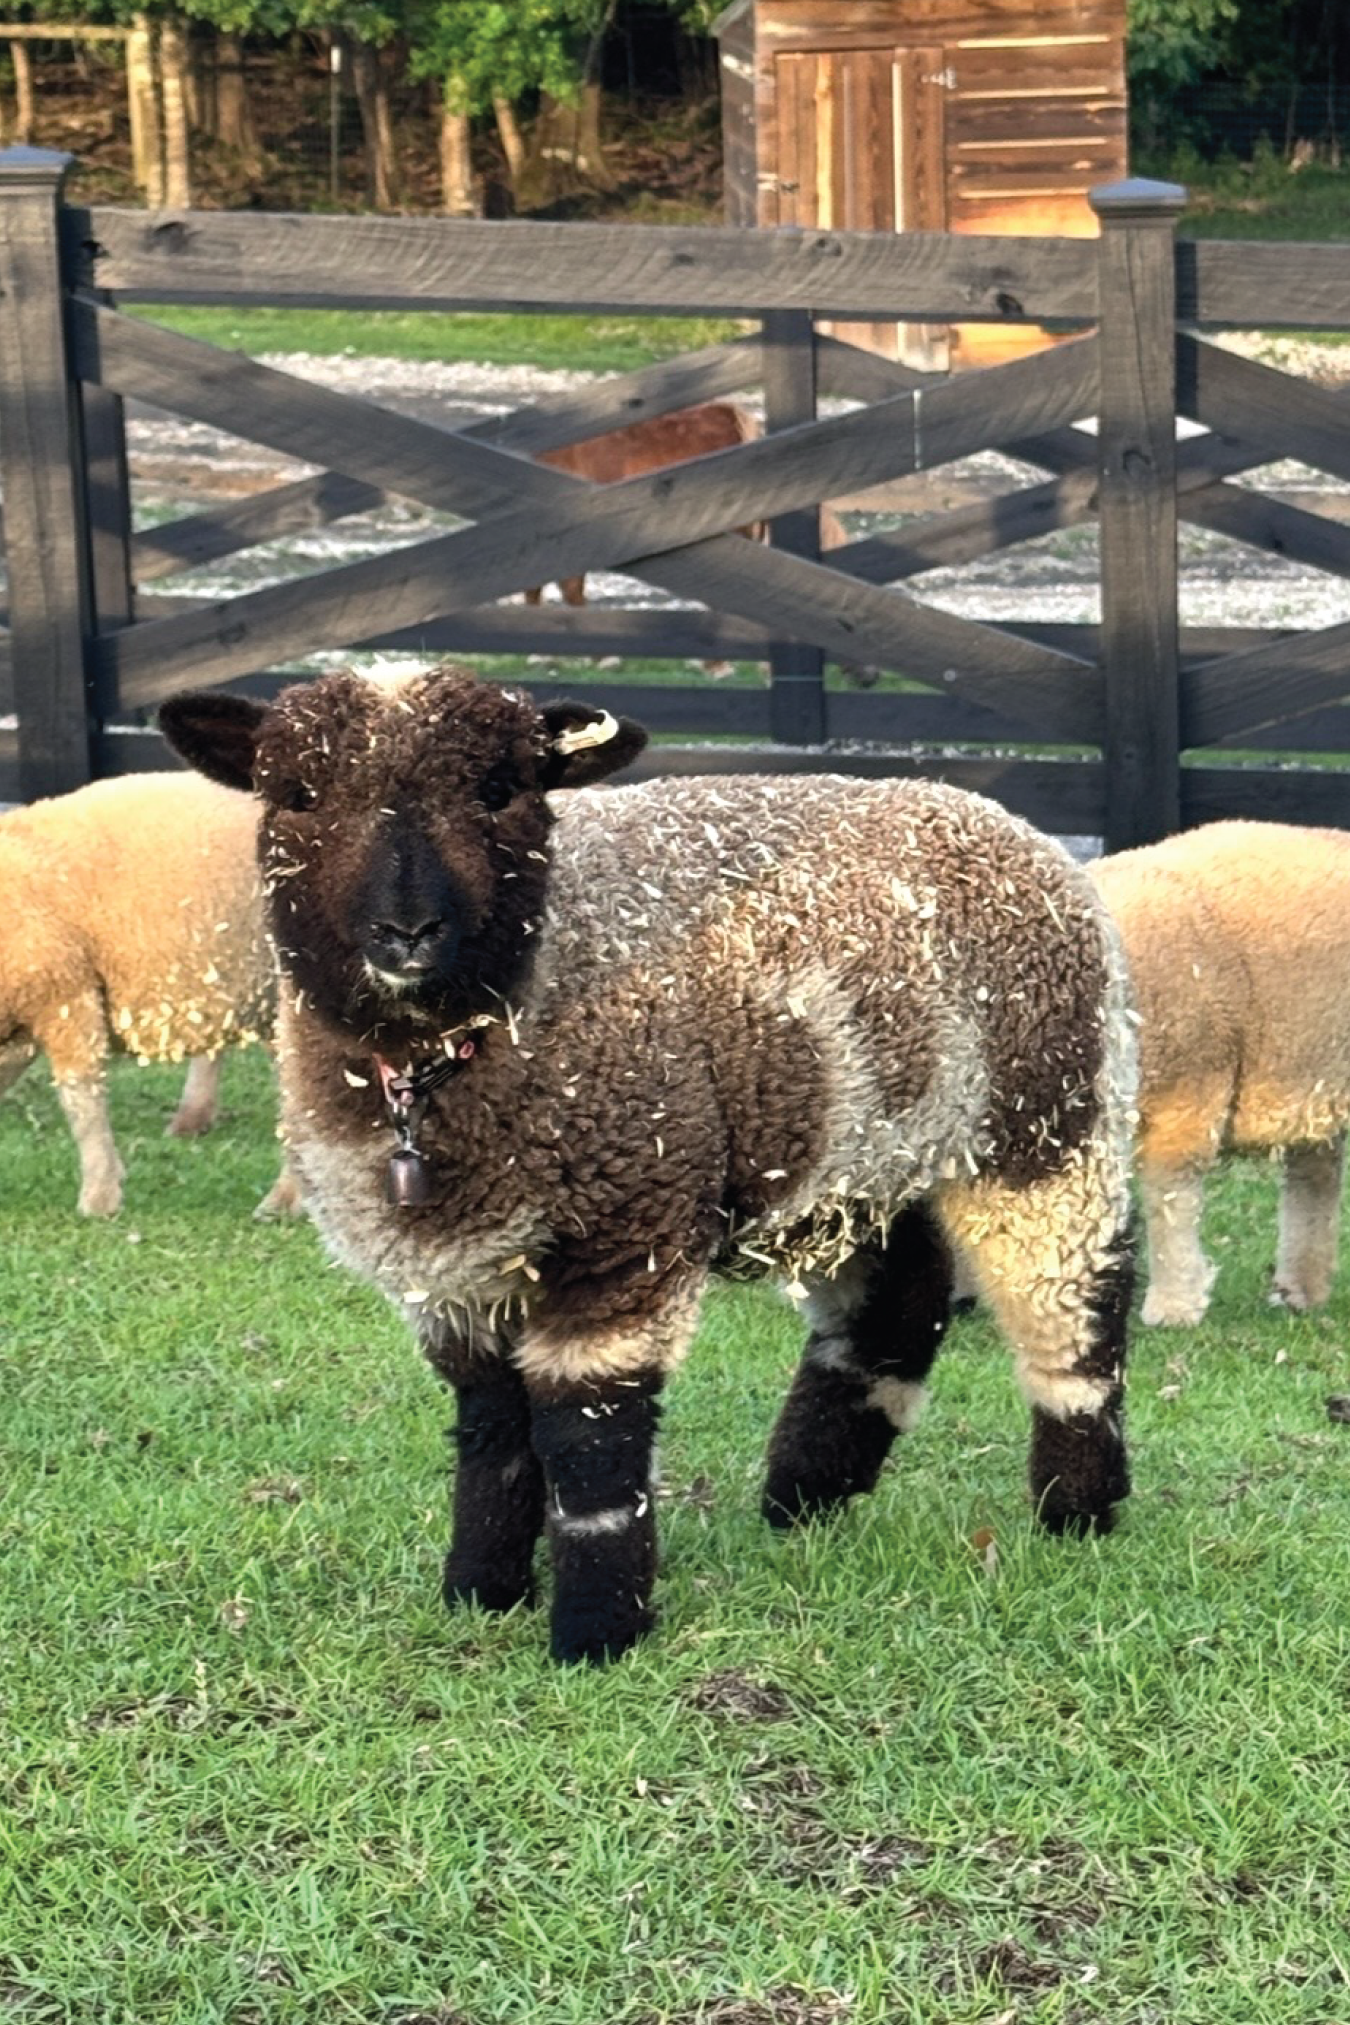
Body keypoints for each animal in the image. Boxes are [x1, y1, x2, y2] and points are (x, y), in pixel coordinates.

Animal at [160, 664, 1138, 1666]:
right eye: (295, 796)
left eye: (501, 789)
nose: (406, 932)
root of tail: (1015, 824)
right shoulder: (456, 1275)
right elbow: (492, 1430)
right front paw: (481, 1589)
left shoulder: (627, 1224)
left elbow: (589, 1435)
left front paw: (596, 1628)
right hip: (863, 1148)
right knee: (898, 1299)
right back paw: (806, 1494)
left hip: (1042, 1120)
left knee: (1075, 1303)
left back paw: (1077, 1504)